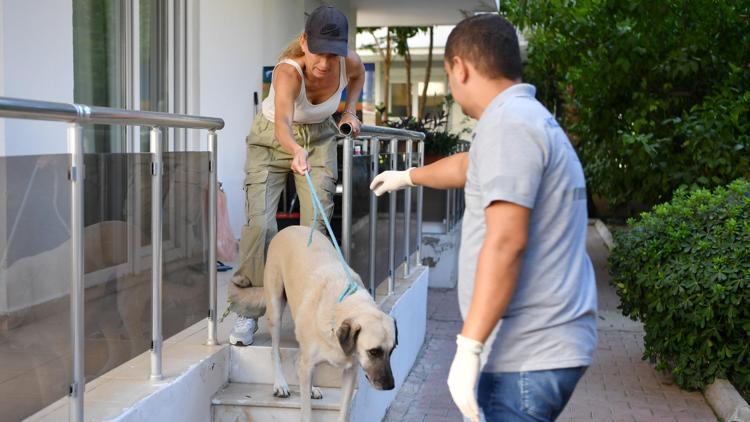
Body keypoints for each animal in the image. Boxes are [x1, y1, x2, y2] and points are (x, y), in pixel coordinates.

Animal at [266, 226, 400, 422]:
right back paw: (280, 384)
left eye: (392, 351)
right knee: (275, 349)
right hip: (275, 308)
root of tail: (290, 227)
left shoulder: (350, 371)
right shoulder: (309, 365)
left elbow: (343, 411)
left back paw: (311, 388)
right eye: (374, 352)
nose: (390, 386)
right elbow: (306, 412)